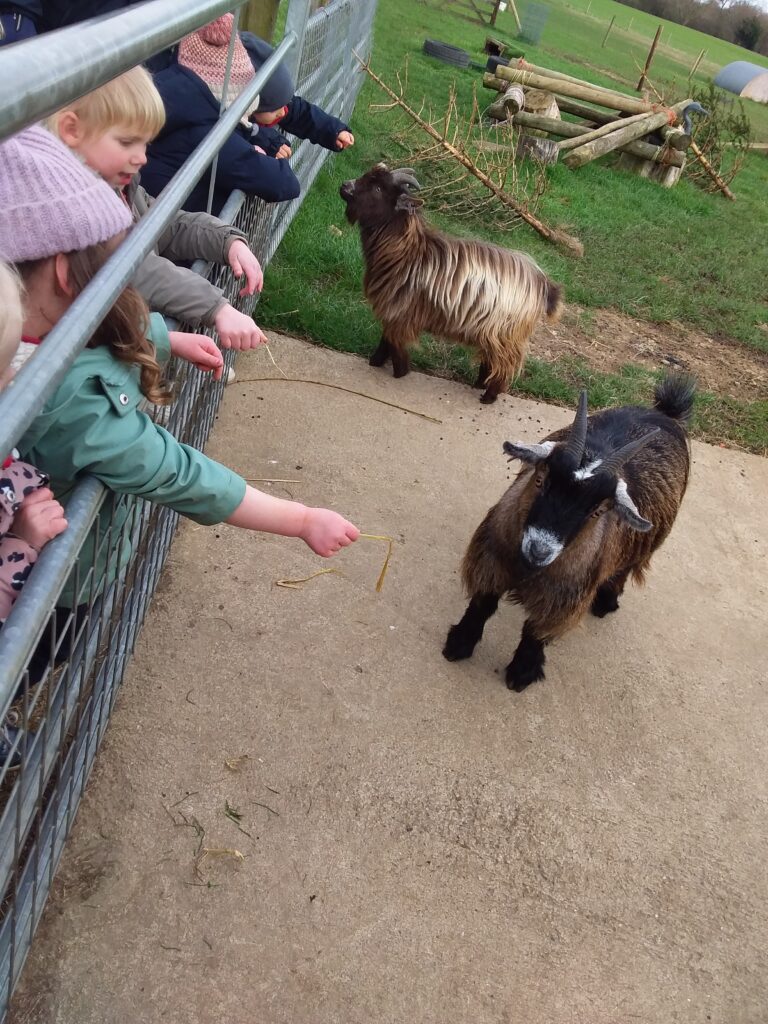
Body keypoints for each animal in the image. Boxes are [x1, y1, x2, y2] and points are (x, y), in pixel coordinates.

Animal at [339, 161, 561, 401]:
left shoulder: (400, 312)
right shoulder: (395, 311)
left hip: (506, 334)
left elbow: (394, 343)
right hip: (493, 332)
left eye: (378, 188)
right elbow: (387, 340)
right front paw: (376, 362)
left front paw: (399, 372)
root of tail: (543, 283)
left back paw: (488, 397)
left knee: (504, 366)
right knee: (490, 360)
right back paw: (479, 384)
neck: (406, 252)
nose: (345, 186)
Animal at [438, 372, 696, 692]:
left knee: (624, 569)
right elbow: (482, 604)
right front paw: (458, 644)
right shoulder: (491, 561)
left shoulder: (563, 597)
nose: (539, 550)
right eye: (541, 480)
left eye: (598, 511)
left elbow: (535, 632)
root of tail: (663, 413)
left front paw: (522, 673)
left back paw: (606, 602)